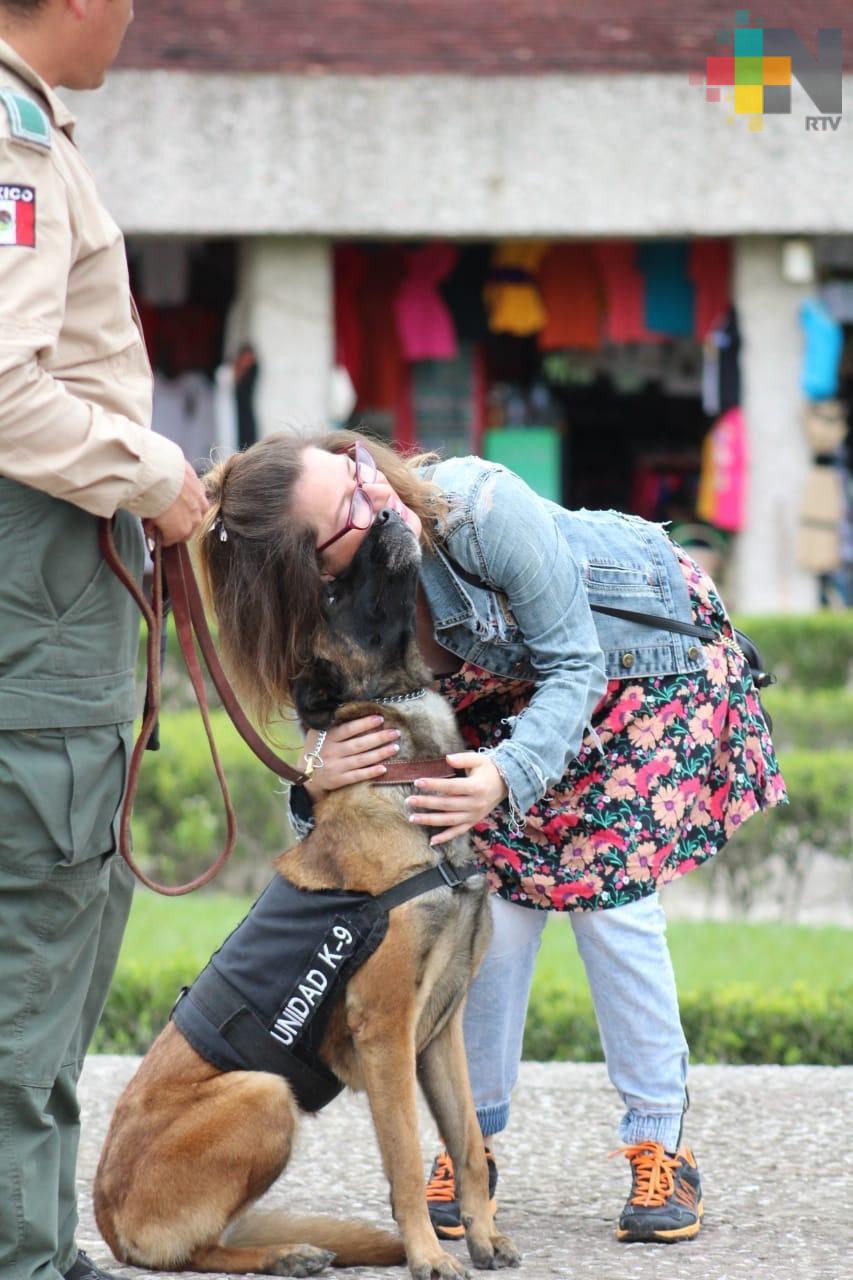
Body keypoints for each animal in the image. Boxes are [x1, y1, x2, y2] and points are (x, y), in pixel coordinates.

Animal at [92, 509, 517, 1280]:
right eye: (332, 593)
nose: (384, 515)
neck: (403, 783)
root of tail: (106, 1222)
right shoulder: (386, 1033)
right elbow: (405, 1157)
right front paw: (427, 1254)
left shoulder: (441, 1033)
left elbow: (468, 1143)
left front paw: (483, 1236)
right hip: (263, 1092)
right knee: (198, 1250)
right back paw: (285, 1253)